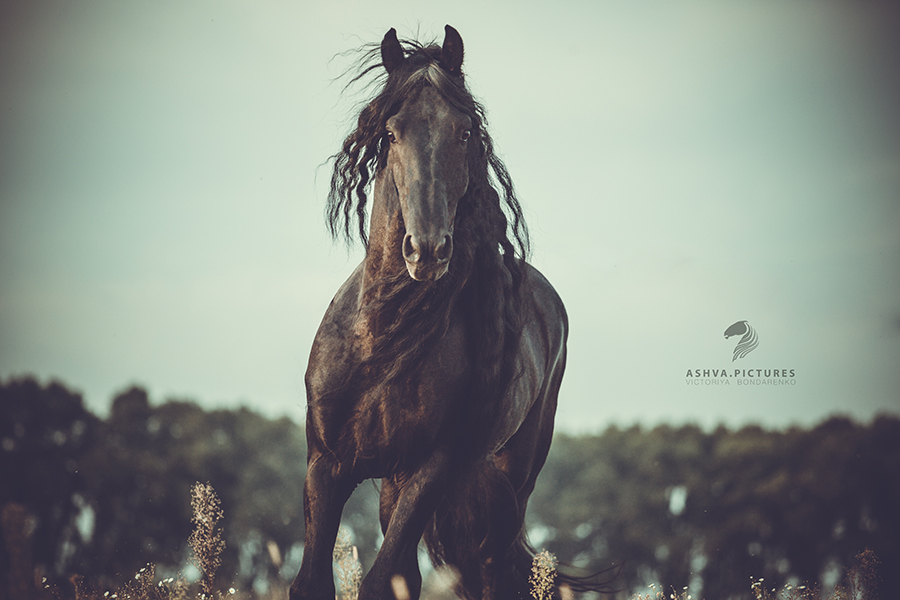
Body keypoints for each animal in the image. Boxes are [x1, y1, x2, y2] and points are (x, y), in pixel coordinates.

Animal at [292, 24, 580, 600]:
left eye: (465, 131)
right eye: (391, 132)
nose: (426, 250)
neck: (383, 339)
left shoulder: (430, 468)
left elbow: (381, 581)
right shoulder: (326, 465)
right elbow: (313, 581)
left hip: (508, 483)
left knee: (491, 569)